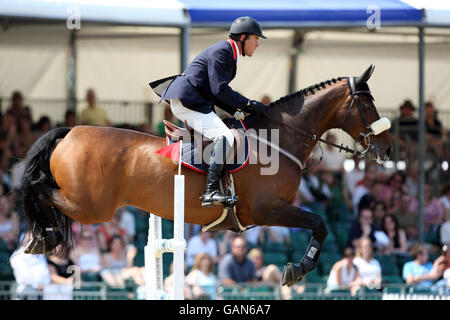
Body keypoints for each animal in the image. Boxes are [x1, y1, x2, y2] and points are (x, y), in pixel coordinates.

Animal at [19, 64, 390, 284]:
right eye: (367, 104)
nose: (386, 151)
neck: (278, 138)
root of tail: (70, 131)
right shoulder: (269, 209)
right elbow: (320, 223)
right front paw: (298, 268)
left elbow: (318, 225)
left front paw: (298, 267)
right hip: (91, 207)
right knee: (38, 189)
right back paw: (44, 235)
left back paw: (43, 236)